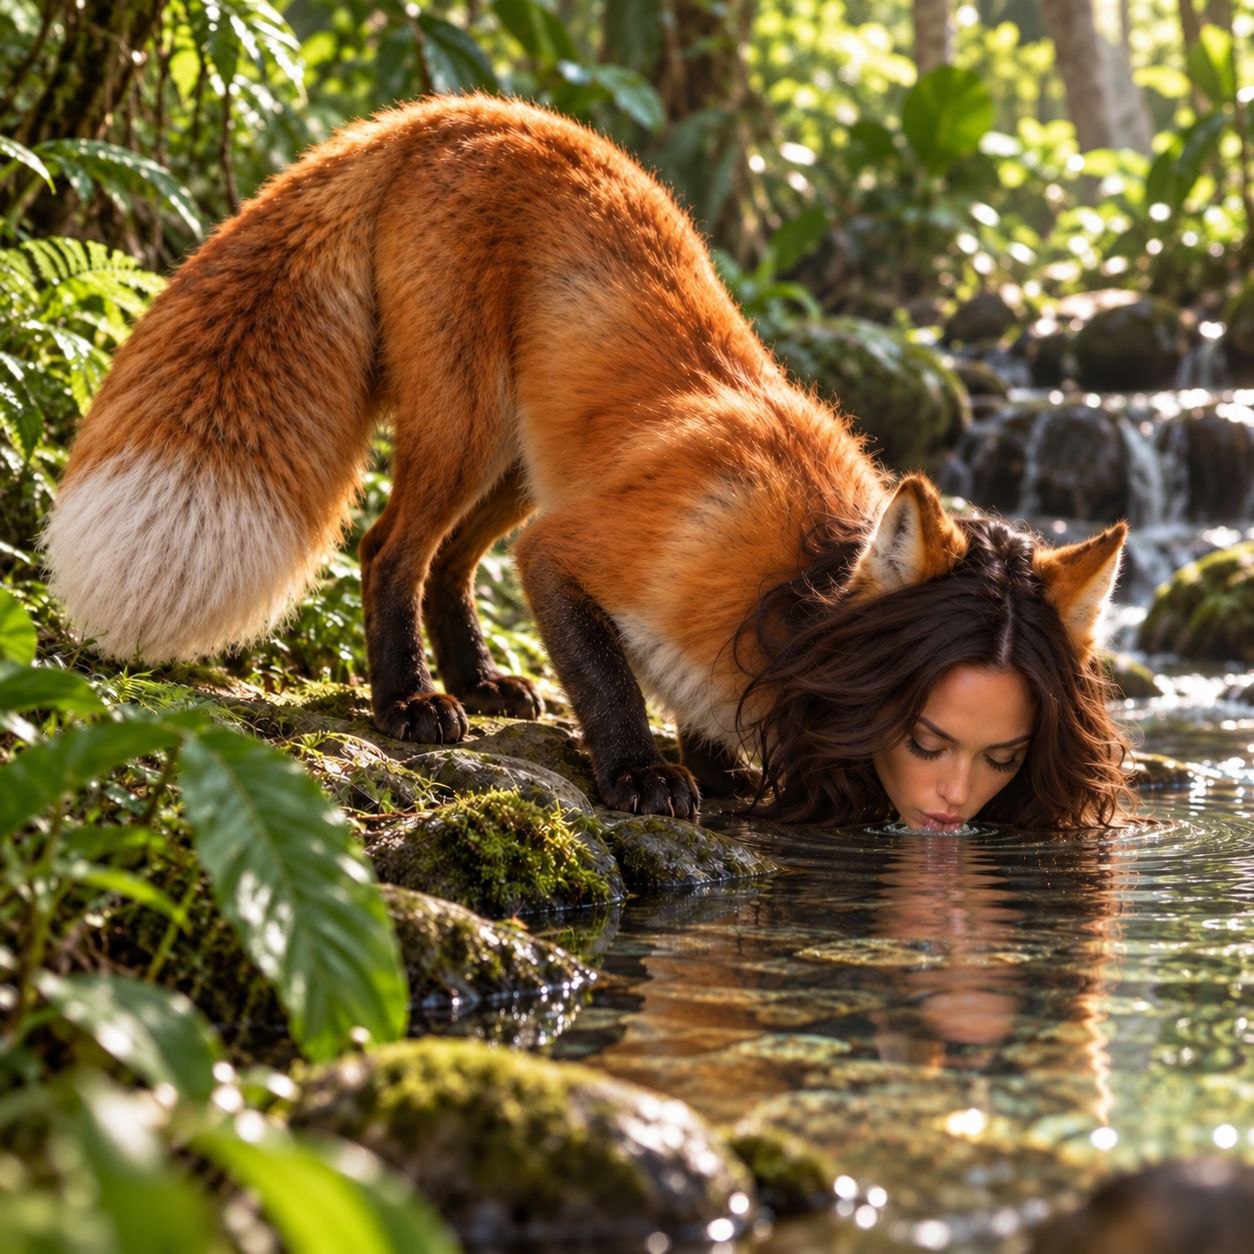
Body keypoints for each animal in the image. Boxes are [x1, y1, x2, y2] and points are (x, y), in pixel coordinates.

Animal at [44, 95, 1127, 823]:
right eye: (930, 738)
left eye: (1005, 755)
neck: (790, 586)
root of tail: (446, 110)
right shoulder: (583, 554)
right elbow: (609, 683)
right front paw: (642, 772)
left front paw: (715, 763)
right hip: (472, 430)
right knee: (390, 550)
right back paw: (411, 700)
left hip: (523, 469)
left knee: (450, 563)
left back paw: (481, 681)